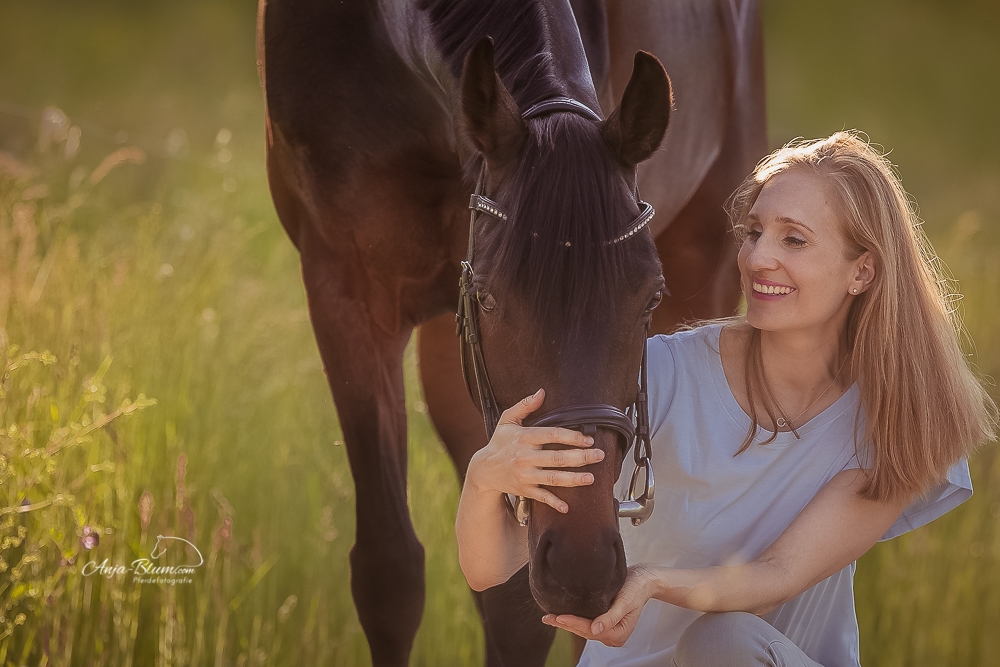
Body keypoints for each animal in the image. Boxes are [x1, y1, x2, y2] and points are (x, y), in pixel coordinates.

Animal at [256, 1, 765, 665]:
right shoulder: (346, 291)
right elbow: (389, 574)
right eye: (490, 299)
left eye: (649, 301)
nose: (582, 568)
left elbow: (518, 607)